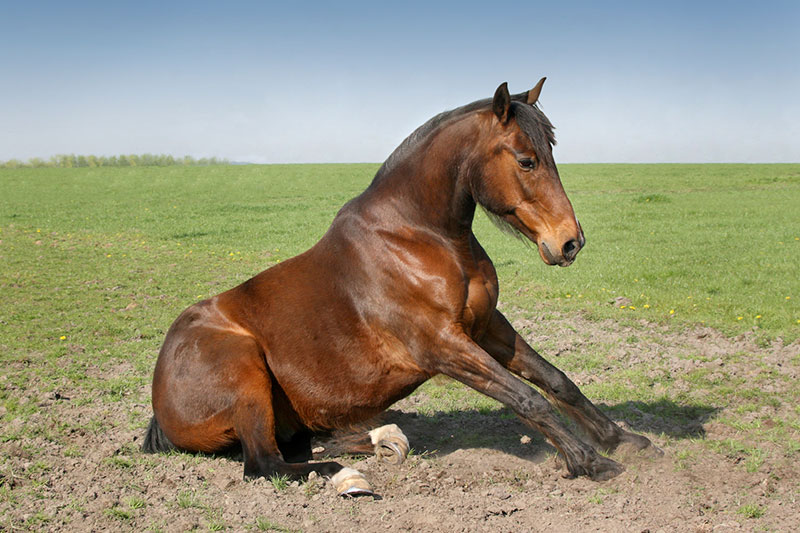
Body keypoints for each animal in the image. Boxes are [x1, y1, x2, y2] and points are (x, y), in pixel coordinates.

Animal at [142, 79, 657, 491]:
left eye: (552, 152)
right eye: (527, 160)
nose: (570, 242)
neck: (416, 236)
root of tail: (160, 404)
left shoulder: (487, 326)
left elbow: (556, 381)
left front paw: (626, 440)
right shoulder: (441, 345)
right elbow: (526, 397)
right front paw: (590, 462)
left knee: (307, 443)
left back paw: (379, 441)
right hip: (244, 367)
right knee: (265, 464)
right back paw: (341, 473)